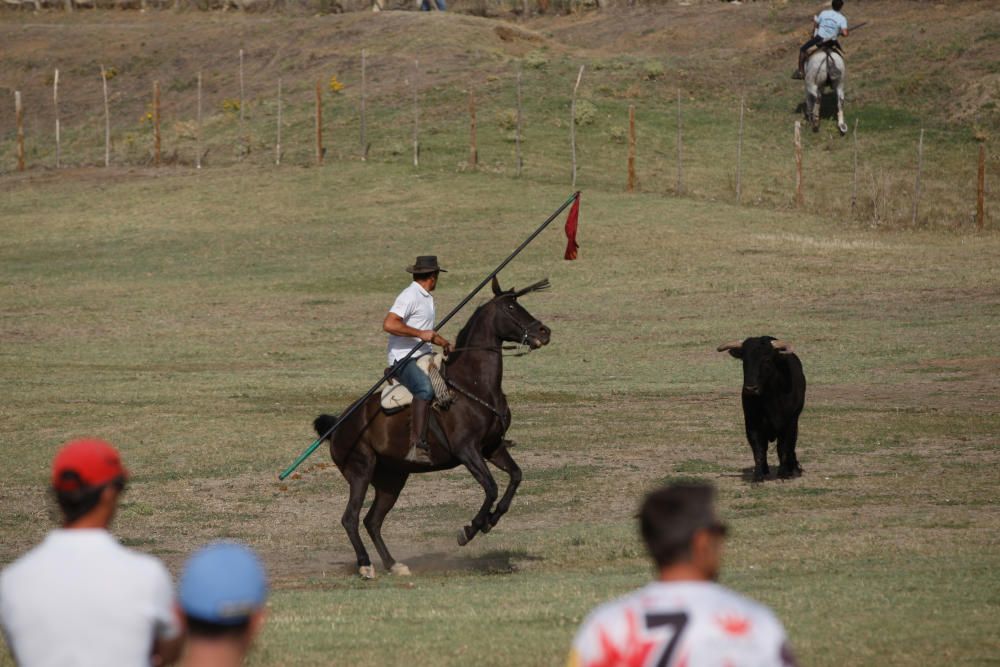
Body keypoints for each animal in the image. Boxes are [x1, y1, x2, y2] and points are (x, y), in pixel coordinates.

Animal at [316, 276, 552, 580]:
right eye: (511, 307)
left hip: (392, 479)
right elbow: (490, 487)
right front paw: (471, 528)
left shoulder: (492, 447)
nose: (544, 332)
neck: (474, 385)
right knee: (351, 518)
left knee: (372, 521)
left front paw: (491, 520)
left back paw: (394, 564)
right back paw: (366, 565)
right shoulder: (467, 451)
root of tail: (337, 425)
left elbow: (515, 476)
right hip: (360, 470)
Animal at [720, 336, 804, 482]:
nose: (750, 388)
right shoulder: (752, 423)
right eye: (745, 360)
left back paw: (793, 468)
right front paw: (758, 474)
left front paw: (783, 473)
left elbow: (784, 448)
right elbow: (758, 449)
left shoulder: (789, 423)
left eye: (767, 360)